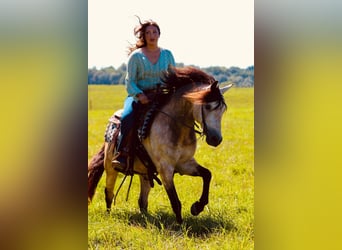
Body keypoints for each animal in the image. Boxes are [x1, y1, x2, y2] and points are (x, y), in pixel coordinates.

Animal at [87, 66, 234, 223]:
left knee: (142, 201)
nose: (216, 139)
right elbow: (175, 201)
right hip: (110, 168)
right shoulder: (165, 169)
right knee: (109, 192)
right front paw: (181, 226)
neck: (176, 127)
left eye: (222, 110)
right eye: (207, 106)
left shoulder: (185, 163)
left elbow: (207, 174)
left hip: (145, 173)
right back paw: (109, 216)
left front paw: (197, 207)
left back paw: (146, 219)